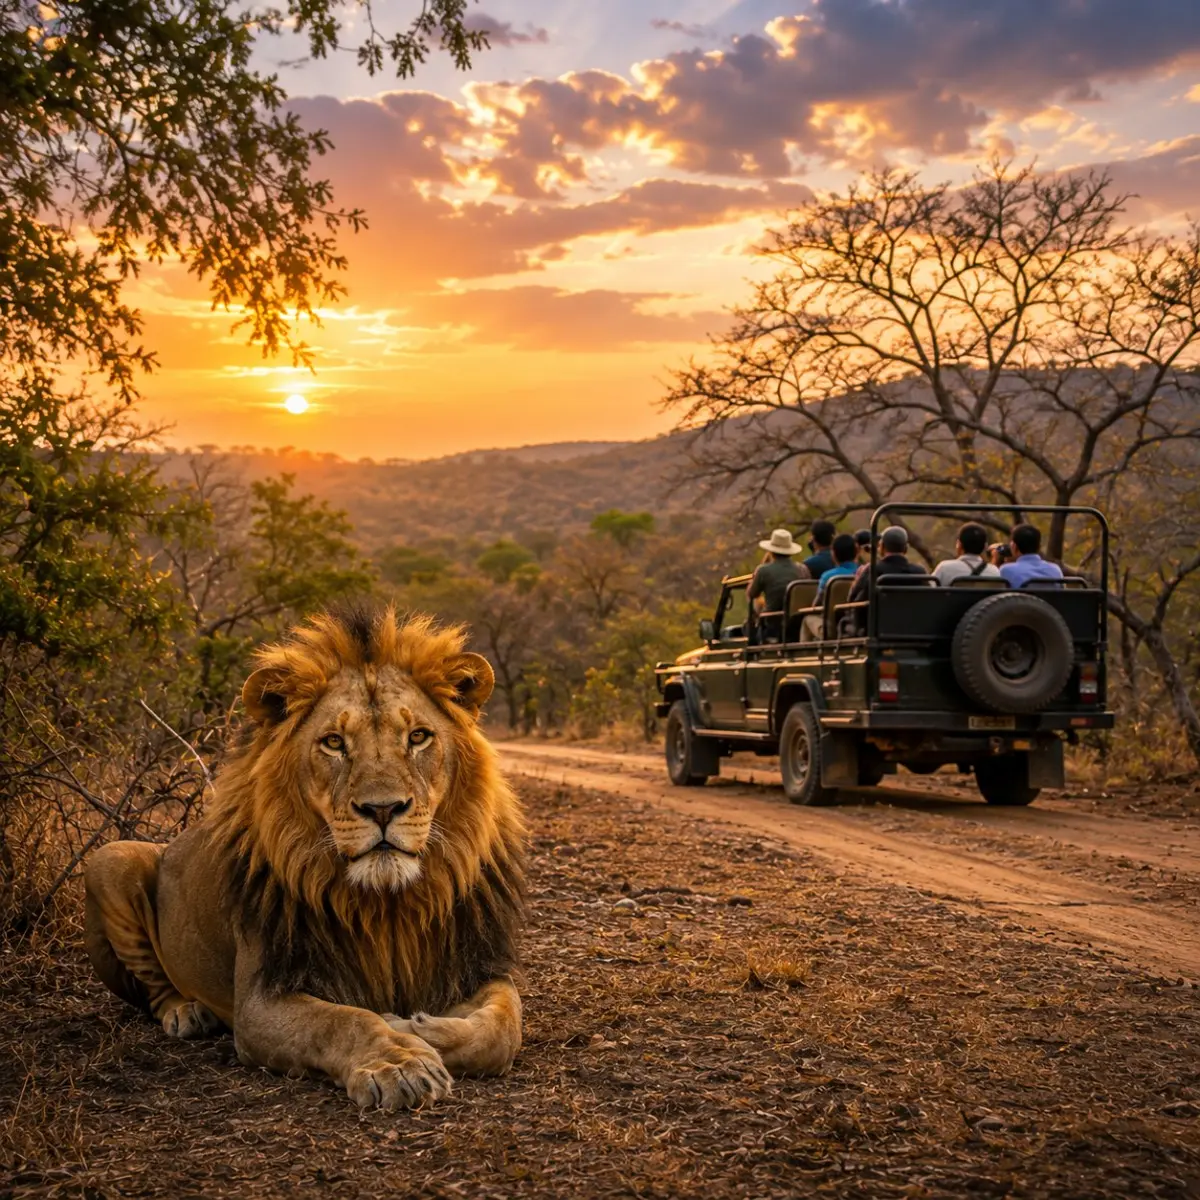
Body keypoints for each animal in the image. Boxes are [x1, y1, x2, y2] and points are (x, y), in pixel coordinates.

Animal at [83, 605, 525, 1110]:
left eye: (418, 737)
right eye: (334, 742)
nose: (383, 809)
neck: (388, 905)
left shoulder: (475, 964)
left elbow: (504, 1027)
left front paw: (415, 1026)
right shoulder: (261, 1000)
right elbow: (342, 1021)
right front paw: (398, 1061)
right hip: (111, 858)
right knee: (153, 990)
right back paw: (186, 1013)